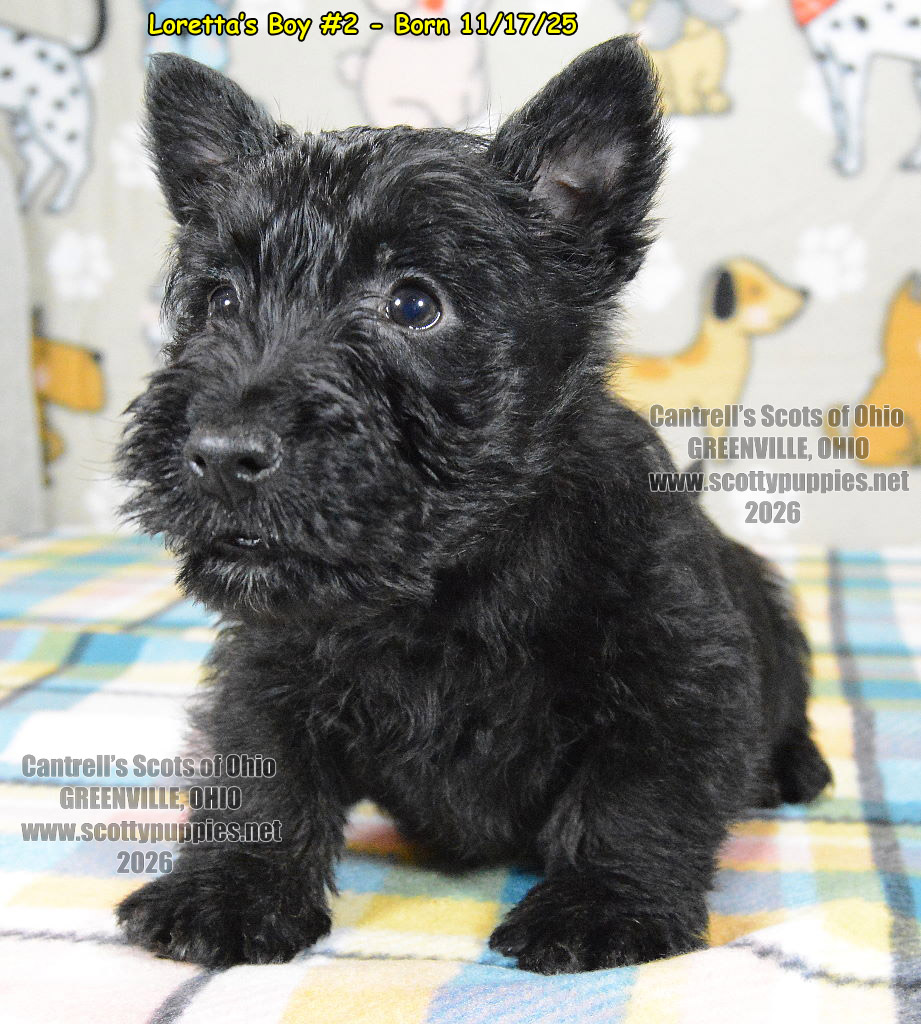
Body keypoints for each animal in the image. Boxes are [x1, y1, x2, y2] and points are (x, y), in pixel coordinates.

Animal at [0, 0, 105, 212]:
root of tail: (68, 51)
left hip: (54, 119)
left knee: (77, 160)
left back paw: (57, 202)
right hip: (26, 123)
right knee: (40, 160)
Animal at [792, 0, 921, 175]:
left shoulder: (851, 60)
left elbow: (850, 115)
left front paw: (851, 163)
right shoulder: (825, 57)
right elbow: (837, 108)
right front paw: (842, 155)